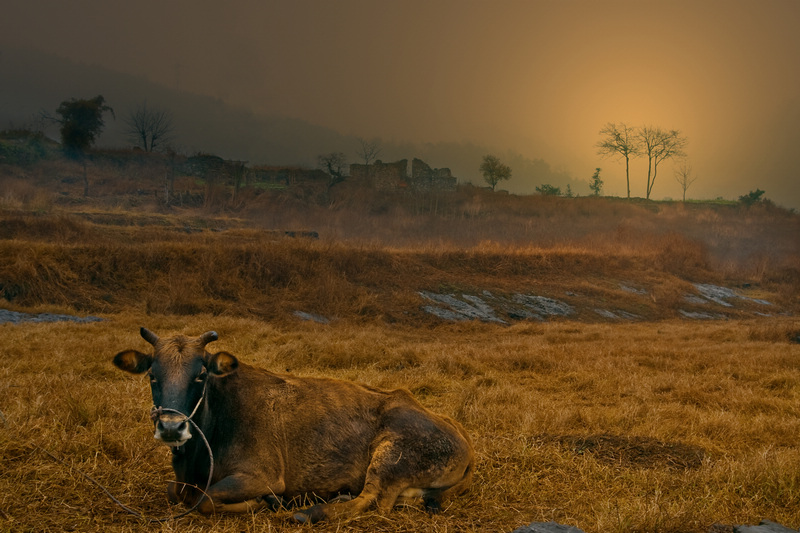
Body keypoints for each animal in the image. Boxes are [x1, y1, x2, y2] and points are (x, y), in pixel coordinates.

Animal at [113, 326, 476, 520]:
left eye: (200, 374)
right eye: (152, 375)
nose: (171, 428)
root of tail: (461, 436)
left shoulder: (262, 475)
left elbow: (205, 500)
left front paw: (264, 503)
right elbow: (174, 491)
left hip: (390, 455)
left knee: (373, 501)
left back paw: (309, 512)